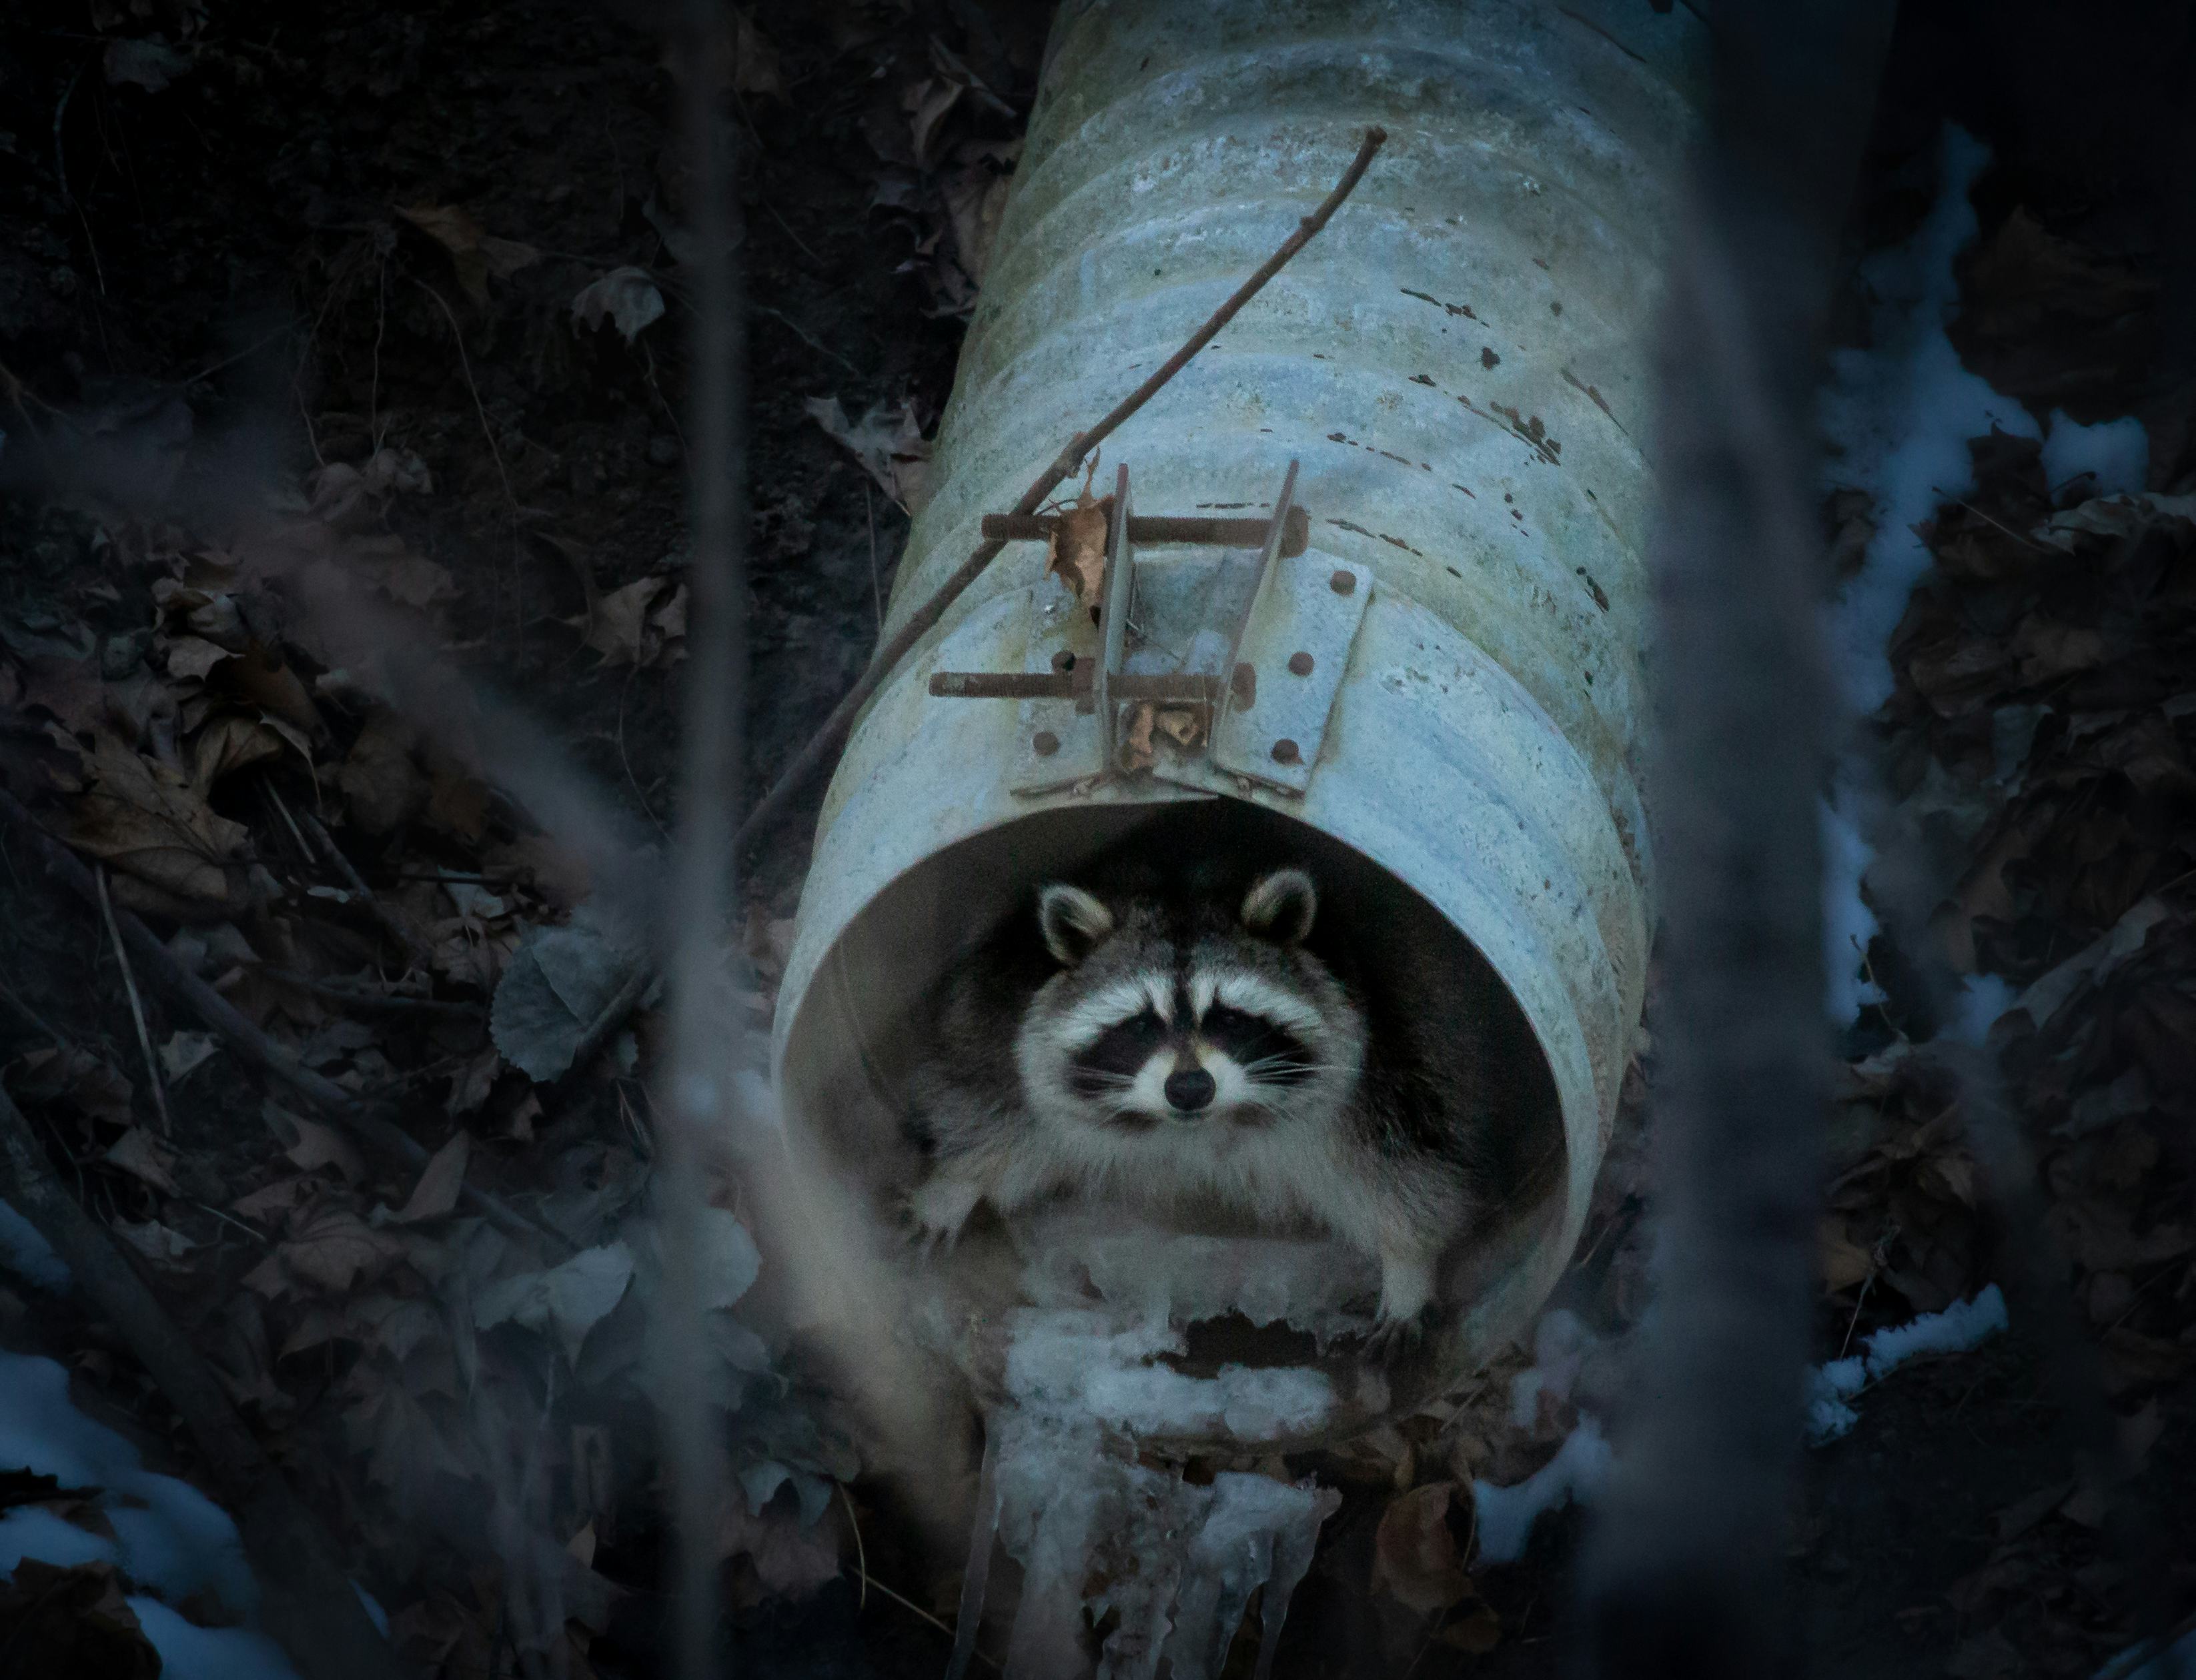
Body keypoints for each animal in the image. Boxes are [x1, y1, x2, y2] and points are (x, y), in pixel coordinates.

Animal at [903, 825, 1535, 1331]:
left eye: (1229, 1019)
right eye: (1141, 1024)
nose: (1189, 1088)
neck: (1200, 1126)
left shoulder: (1396, 1044)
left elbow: (1412, 1163)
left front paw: (1408, 1265)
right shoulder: (1004, 997)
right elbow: (991, 1098)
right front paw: (956, 1182)